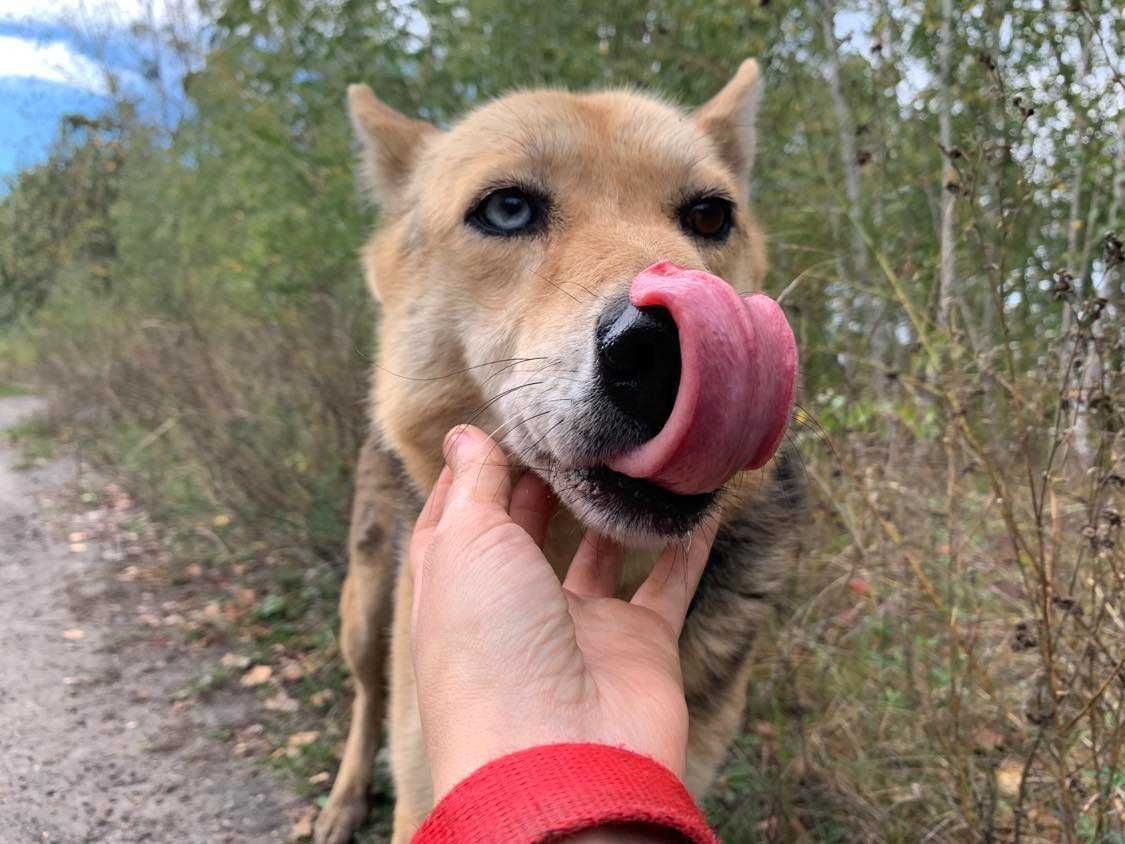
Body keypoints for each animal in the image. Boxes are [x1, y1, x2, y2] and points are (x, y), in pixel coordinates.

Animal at [312, 56, 805, 841]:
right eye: (508, 209)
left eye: (709, 215)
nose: (660, 353)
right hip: (364, 609)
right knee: (367, 695)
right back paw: (344, 798)